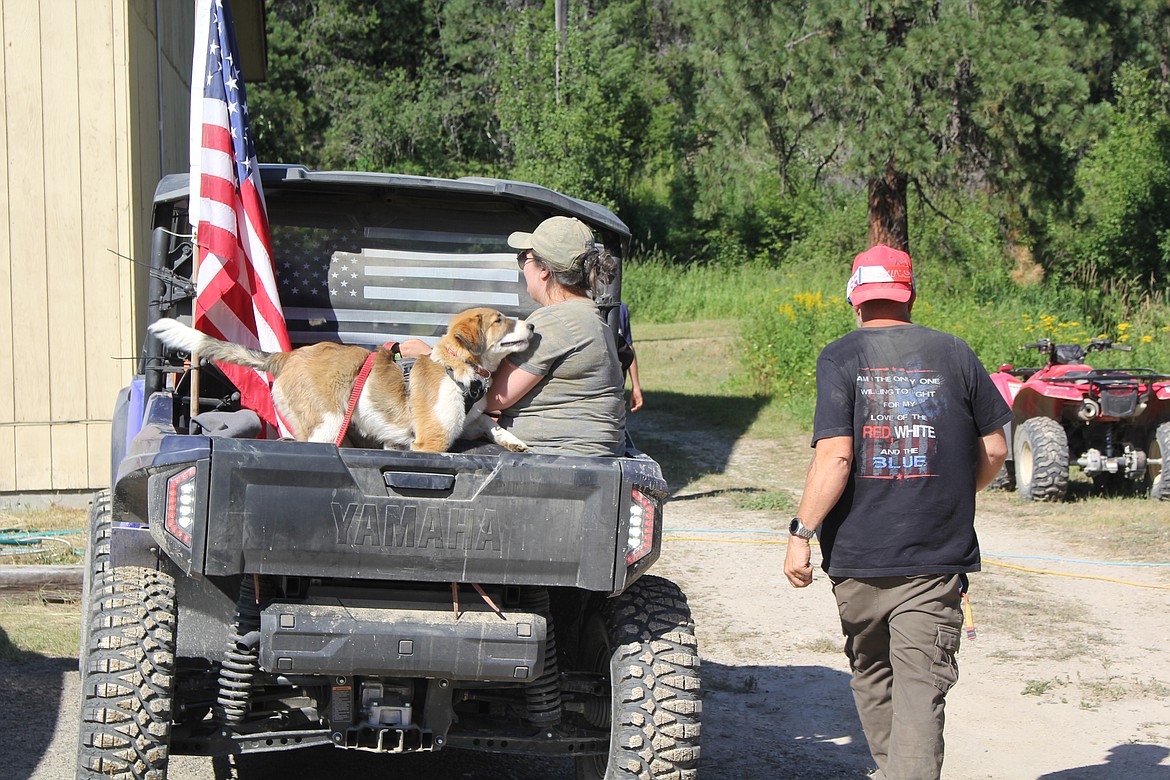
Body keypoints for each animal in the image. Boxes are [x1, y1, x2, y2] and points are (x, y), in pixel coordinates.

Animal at [147, 304, 535, 451]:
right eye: (500, 320)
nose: (532, 327)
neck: (453, 366)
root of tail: (287, 356)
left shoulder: (467, 420)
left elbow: (488, 422)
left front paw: (512, 440)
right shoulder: (433, 441)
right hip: (328, 425)